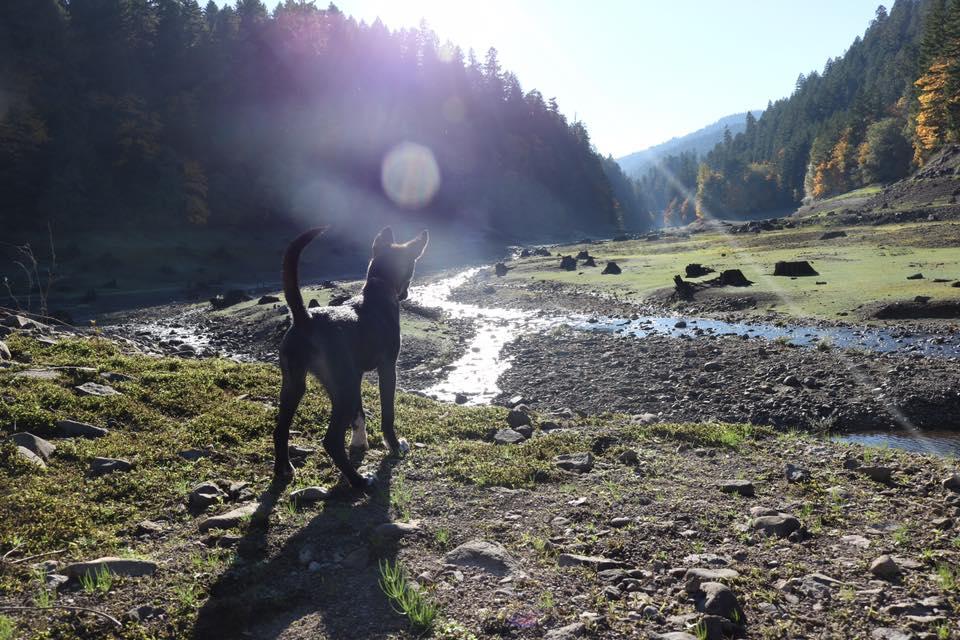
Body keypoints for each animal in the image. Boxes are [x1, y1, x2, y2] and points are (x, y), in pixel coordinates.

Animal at [273, 226, 428, 491]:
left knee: (280, 429)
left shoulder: (356, 375)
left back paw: (283, 468)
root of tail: (305, 319)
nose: (406, 294)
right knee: (331, 440)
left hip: (295, 384)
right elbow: (388, 415)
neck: (379, 289)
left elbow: (359, 414)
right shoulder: (387, 368)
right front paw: (394, 446)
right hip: (342, 389)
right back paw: (359, 482)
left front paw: (359, 442)